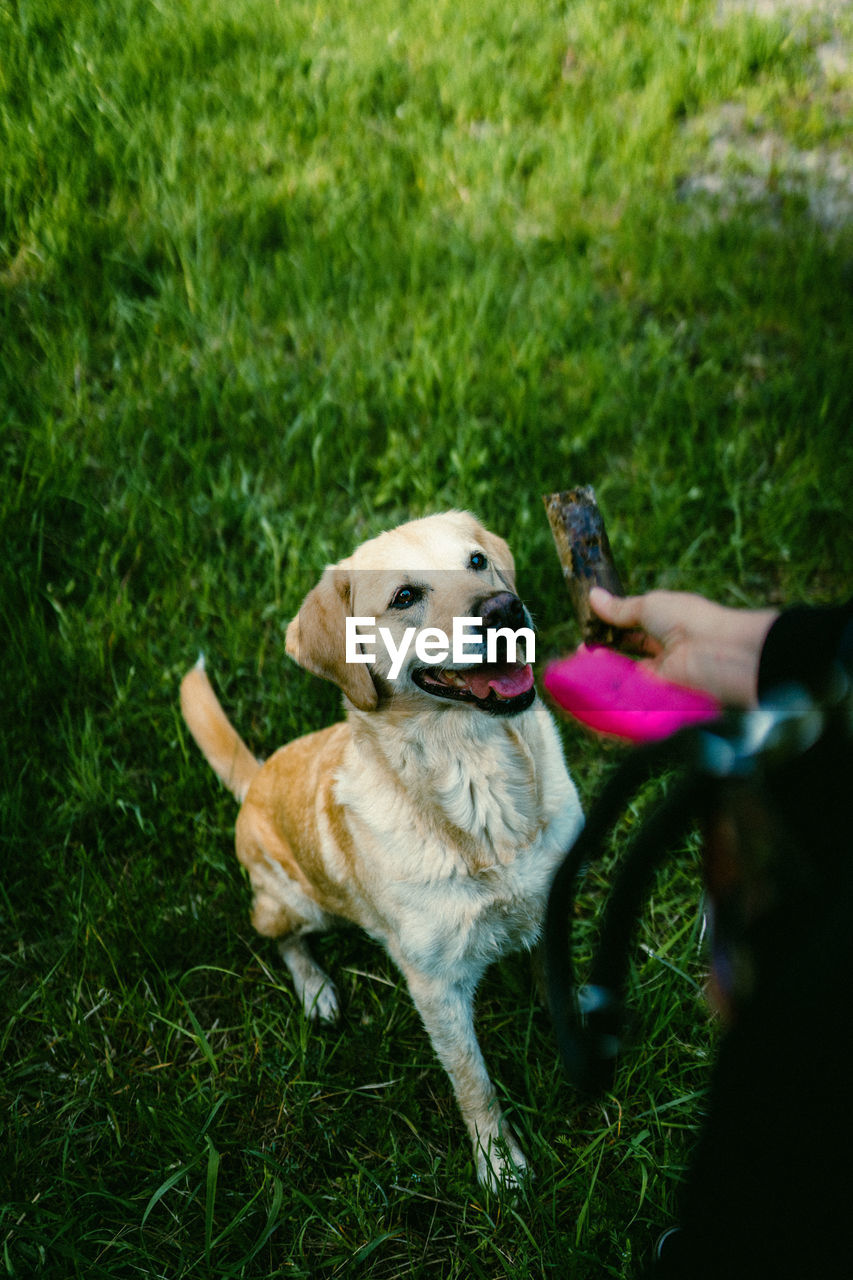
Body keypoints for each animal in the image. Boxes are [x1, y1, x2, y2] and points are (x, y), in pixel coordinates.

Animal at [178, 504, 578, 1182]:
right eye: (405, 597)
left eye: (477, 561)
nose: (504, 608)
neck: (480, 784)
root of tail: (255, 777)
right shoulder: (435, 985)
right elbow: (474, 1083)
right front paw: (500, 1167)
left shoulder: (553, 906)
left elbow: (562, 999)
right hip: (294, 903)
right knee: (280, 937)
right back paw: (316, 991)